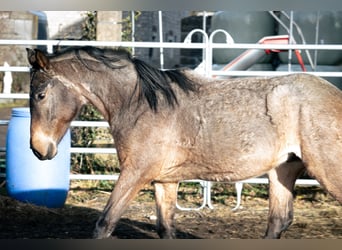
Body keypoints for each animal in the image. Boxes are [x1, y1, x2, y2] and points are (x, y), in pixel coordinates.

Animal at [26, 46, 342, 239]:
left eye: (40, 94)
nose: (38, 150)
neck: (140, 104)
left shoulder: (135, 173)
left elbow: (105, 223)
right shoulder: (164, 181)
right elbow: (165, 228)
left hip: (326, 171)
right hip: (282, 171)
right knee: (278, 222)